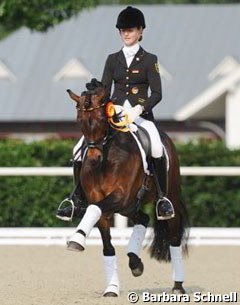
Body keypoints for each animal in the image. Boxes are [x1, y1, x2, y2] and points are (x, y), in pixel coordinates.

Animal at [64, 79, 188, 296]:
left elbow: (93, 209)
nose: (94, 158)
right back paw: (134, 261)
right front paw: (112, 288)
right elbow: (107, 247)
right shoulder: (103, 201)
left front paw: (76, 239)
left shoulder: (119, 196)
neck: (107, 157)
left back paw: (178, 286)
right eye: (79, 121)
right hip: (128, 207)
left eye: (101, 119)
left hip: (164, 198)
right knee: (143, 219)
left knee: (174, 238)